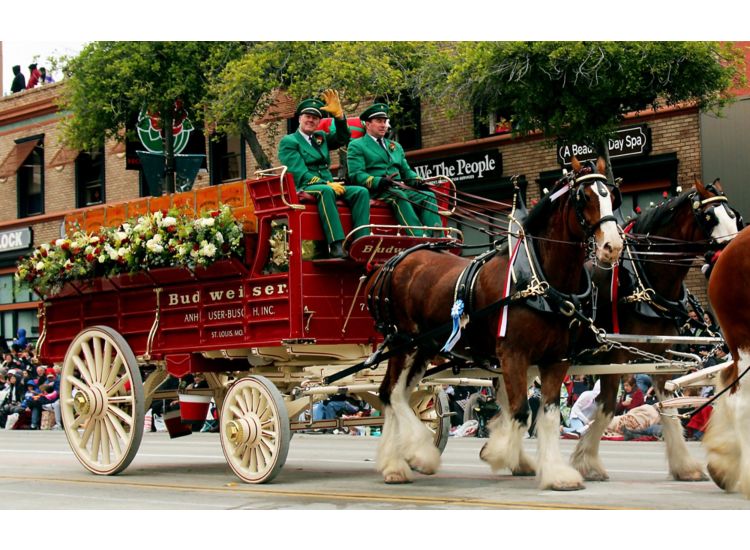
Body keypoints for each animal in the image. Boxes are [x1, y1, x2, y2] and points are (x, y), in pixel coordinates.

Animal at [368, 158, 624, 492]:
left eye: (612, 196)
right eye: (584, 197)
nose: (612, 246)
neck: (538, 279)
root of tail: (394, 261)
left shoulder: (557, 359)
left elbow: (547, 415)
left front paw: (556, 473)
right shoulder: (513, 354)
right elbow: (520, 412)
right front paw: (498, 452)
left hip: (424, 347)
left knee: (393, 394)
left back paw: (393, 462)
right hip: (402, 343)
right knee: (393, 395)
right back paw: (416, 454)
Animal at [572, 180, 744, 484]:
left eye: (734, 216)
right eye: (709, 217)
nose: (730, 258)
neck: (643, 279)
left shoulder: (662, 356)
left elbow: (668, 407)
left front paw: (685, 466)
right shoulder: (614, 357)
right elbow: (606, 407)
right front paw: (586, 462)